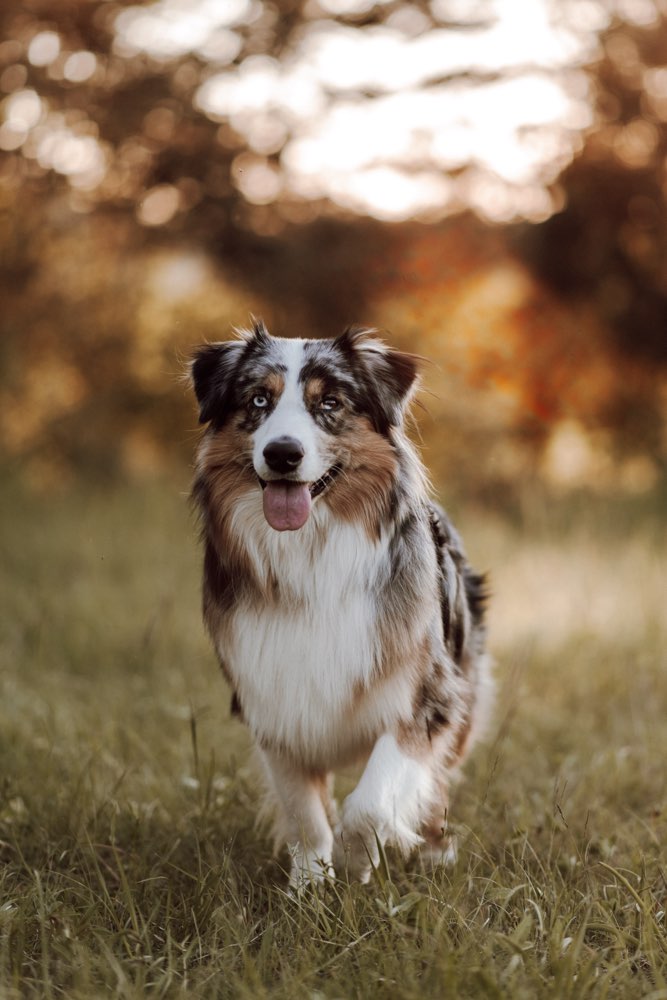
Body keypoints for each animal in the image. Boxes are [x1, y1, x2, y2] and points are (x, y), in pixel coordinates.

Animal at [188, 318, 490, 884]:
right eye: (258, 399)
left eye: (329, 403)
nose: (283, 454)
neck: (311, 551)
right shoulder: (272, 696)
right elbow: (304, 809)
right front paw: (310, 882)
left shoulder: (425, 696)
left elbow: (370, 801)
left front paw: (355, 860)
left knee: (437, 779)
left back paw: (436, 850)